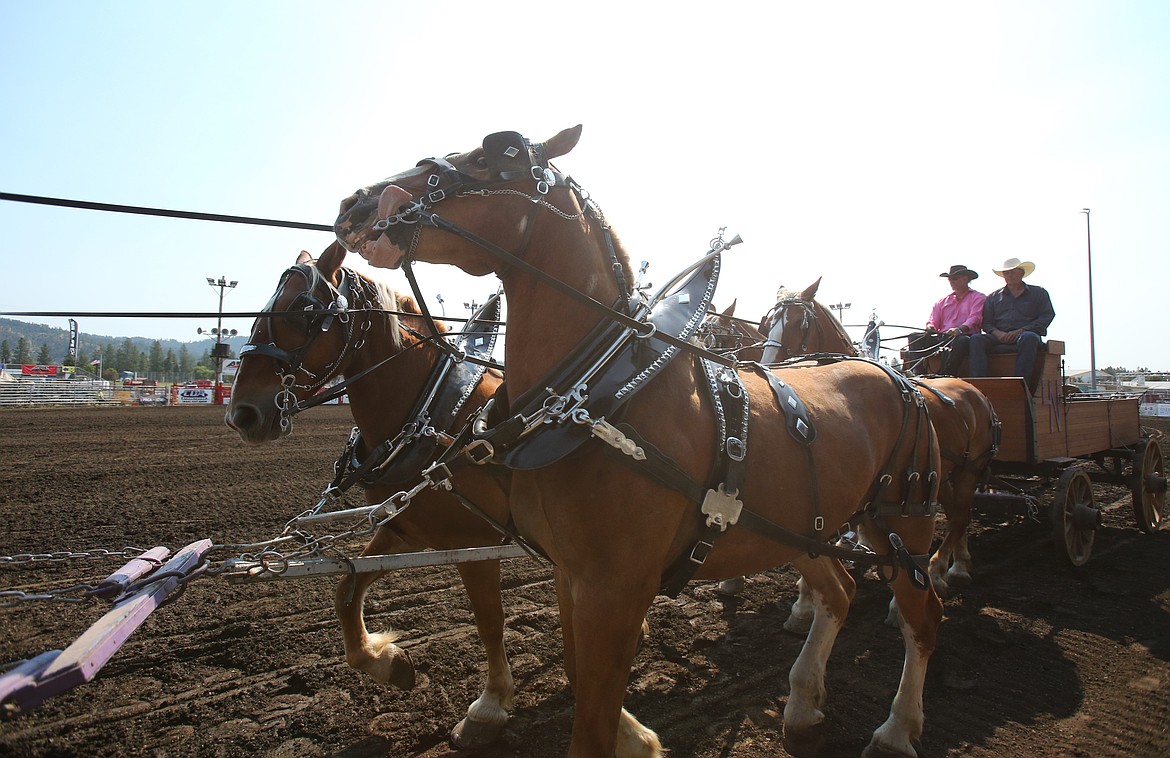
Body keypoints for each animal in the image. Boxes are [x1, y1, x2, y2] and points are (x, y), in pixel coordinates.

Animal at [224, 245, 517, 748]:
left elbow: (489, 619)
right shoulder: (403, 528)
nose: (241, 414)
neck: (434, 416)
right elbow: (346, 589)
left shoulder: (475, 542)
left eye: (304, 310)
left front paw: (490, 704)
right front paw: (386, 662)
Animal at [334, 127, 945, 753]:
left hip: (902, 525)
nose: (357, 204)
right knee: (839, 591)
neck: (596, 392)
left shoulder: (615, 588)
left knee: (922, 615)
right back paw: (802, 703)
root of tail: (896, 376)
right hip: (807, 531)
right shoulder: (570, 572)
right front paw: (638, 737)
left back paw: (897, 727)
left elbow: (591, 722)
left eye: (493, 154)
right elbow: (578, 672)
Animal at [762, 274, 1001, 598]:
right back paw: (961, 561)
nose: (767, 362)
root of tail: (977, 392)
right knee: (958, 515)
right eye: (768, 323)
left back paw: (942, 569)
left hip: (969, 468)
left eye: (800, 322)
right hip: (945, 476)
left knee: (960, 516)